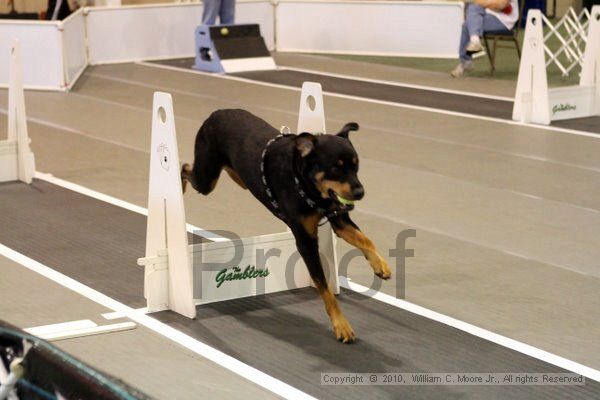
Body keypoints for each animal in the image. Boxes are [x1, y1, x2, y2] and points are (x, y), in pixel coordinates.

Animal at [180, 109, 392, 344]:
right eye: (335, 169)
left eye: (356, 166)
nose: (360, 192)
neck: (306, 185)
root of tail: (215, 113)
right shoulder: (306, 242)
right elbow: (325, 288)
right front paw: (341, 326)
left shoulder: (339, 218)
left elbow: (366, 240)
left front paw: (380, 265)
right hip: (206, 177)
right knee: (185, 169)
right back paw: (179, 186)